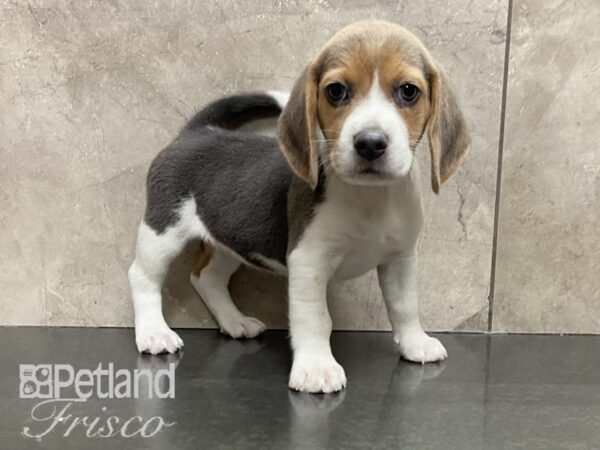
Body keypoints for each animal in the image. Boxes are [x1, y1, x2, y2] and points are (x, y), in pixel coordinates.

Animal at [129, 20, 472, 394]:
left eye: (409, 91)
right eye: (336, 91)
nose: (370, 143)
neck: (370, 197)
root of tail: (198, 130)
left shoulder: (400, 258)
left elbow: (405, 305)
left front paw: (415, 343)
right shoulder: (309, 260)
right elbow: (316, 318)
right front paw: (316, 368)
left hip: (231, 240)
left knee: (206, 277)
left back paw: (235, 321)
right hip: (163, 231)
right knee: (143, 276)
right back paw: (154, 333)